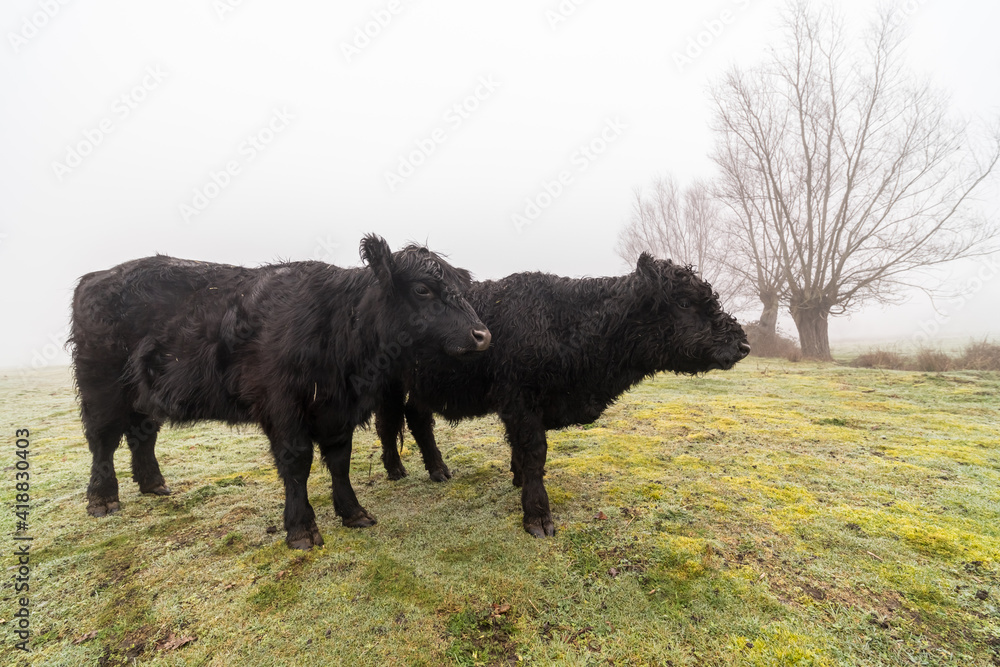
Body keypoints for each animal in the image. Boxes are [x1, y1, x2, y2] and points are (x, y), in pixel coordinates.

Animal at [68, 237, 490, 552]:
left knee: (142, 436)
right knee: (103, 441)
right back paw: (102, 500)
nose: (482, 335)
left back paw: (154, 485)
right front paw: (301, 529)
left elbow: (340, 462)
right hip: (102, 388)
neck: (338, 323)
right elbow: (297, 463)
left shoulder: (338, 411)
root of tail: (95, 277)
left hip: (142, 394)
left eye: (460, 287)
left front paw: (354, 513)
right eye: (422, 289)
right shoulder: (284, 408)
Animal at [376, 253, 752, 540]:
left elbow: (520, 452)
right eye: (686, 303)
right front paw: (538, 517)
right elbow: (534, 453)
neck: (564, 322)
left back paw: (438, 470)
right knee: (388, 422)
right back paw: (397, 470)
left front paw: (516, 479)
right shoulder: (520, 401)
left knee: (417, 417)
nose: (743, 344)